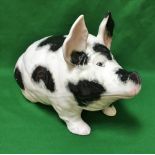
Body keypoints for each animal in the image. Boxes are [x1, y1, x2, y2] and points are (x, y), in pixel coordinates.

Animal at [13, 12, 141, 135]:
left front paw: (112, 113)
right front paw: (84, 131)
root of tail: (22, 55)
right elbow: (72, 117)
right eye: (99, 63)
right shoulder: (62, 103)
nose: (135, 75)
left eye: (114, 59)